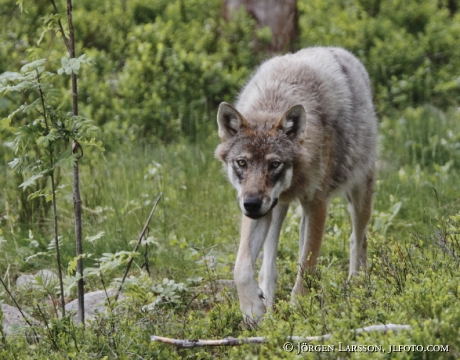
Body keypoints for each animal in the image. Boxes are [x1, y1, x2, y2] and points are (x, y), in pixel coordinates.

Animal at [216, 45, 378, 326]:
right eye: (242, 163)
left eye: (274, 164)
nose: (251, 204)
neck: (274, 100)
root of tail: (339, 50)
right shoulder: (259, 210)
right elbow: (242, 267)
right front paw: (253, 311)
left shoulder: (317, 204)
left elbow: (307, 266)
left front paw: (300, 312)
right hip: (278, 209)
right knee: (269, 266)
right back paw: (268, 302)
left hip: (358, 197)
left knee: (358, 238)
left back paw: (356, 285)